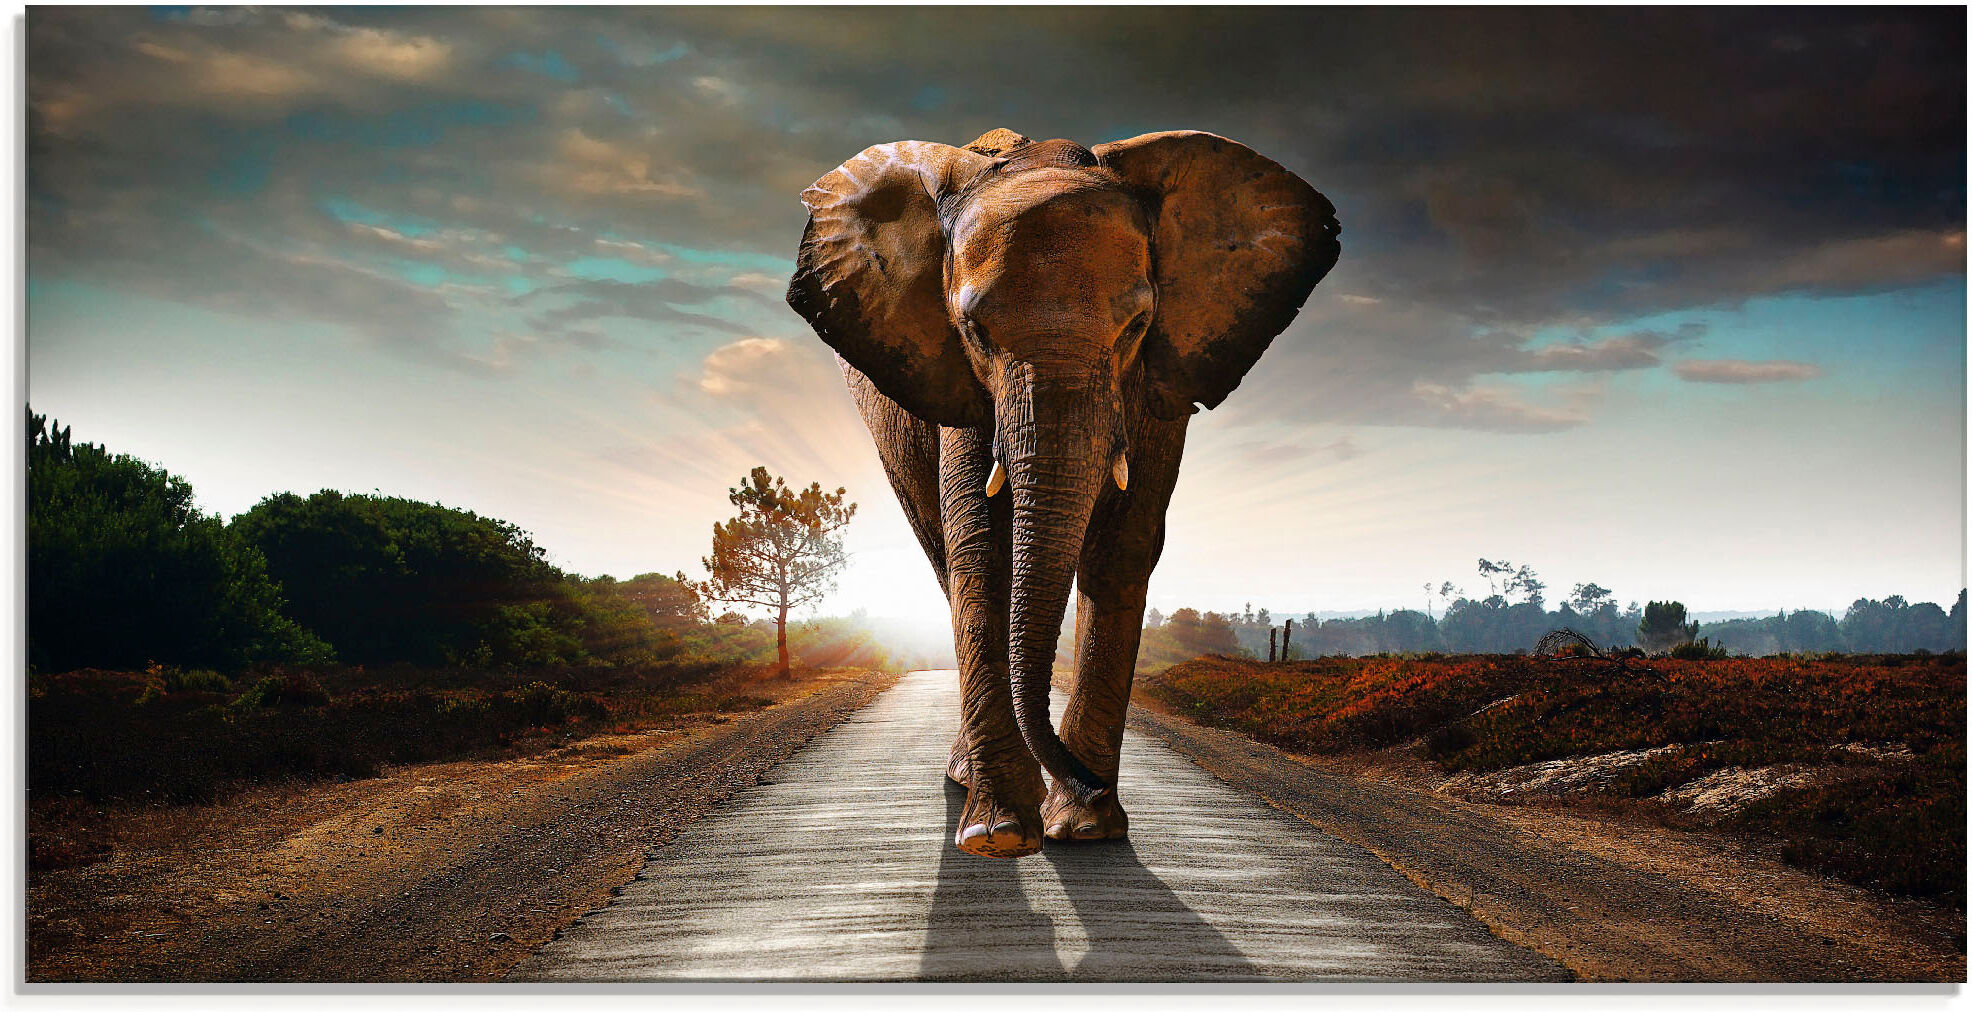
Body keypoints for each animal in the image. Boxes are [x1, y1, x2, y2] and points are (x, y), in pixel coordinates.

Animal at [786, 128, 1340, 858]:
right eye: (974, 331)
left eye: (1136, 327)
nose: (1086, 781)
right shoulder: (961, 384)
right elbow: (982, 549)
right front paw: (999, 835)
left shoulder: (1158, 380)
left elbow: (1123, 548)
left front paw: (1085, 828)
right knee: (943, 558)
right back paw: (970, 783)